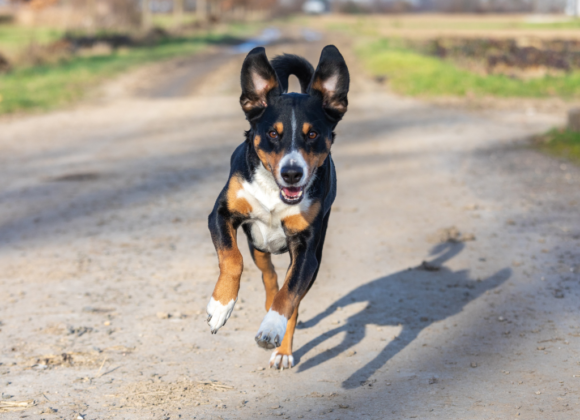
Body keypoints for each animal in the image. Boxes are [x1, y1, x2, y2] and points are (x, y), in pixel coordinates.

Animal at [205, 44, 348, 370]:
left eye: (312, 134)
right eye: (272, 133)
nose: (292, 173)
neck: (275, 195)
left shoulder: (307, 251)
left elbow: (289, 295)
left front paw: (272, 328)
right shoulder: (221, 214)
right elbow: (232, 260)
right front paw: (220, 306)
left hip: (314, 257)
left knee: (290, 297)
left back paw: (282, 348)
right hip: (258, 245)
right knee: (269, 277)